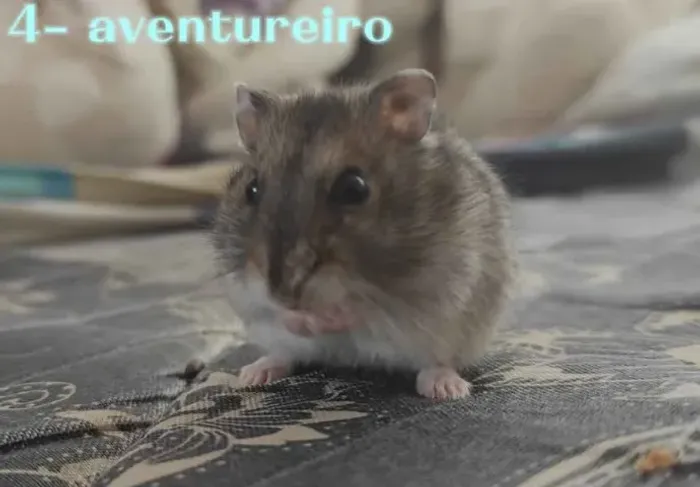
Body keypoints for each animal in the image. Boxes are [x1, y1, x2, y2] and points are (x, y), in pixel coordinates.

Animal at [212, 69, 516, 400]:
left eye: (353, 188)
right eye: (251, 189)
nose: (282, 294)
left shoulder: (427, 289)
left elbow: (363, 309)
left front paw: (325, 317)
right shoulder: (245, 291)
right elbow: (272, 311)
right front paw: (302, 320)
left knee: (436, 363)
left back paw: (446, 389)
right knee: (284, 354)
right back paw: (252, 374)